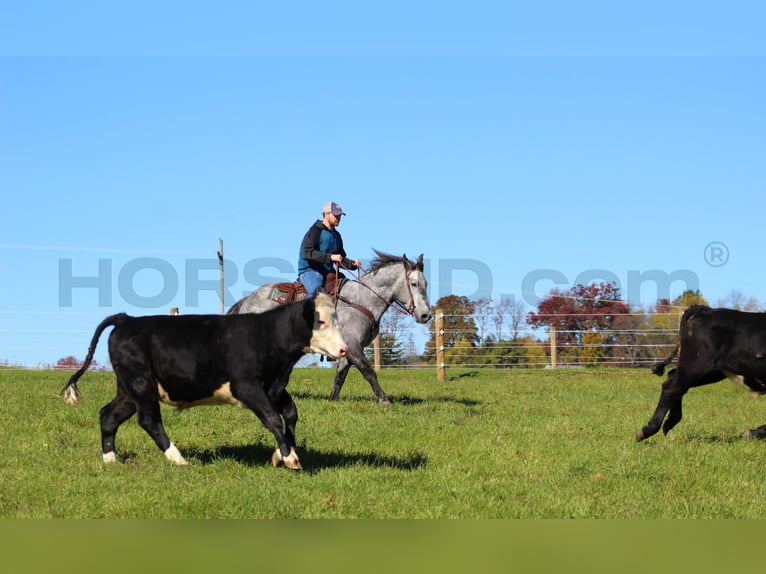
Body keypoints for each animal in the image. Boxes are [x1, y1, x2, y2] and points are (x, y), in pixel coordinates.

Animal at [60, 294, 348, 470]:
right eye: (321, 320)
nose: (344, 349)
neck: (267, 337)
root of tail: (127, 320)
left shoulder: (274, 388)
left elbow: (290, 413)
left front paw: (281, 453)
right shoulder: (246, 386)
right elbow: (273, 418)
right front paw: (290, 458)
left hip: (129, 389)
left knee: (108, 415)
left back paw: (111, 460)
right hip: (141, 384)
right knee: (149, 420)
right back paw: (178, 458)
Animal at [228, 251, 432, 404]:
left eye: (426, 283)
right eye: (413, 283)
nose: (425, 315)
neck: (361, 300)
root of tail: (248, 299)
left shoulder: (349, 348)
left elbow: (341, 375)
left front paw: (332, 399)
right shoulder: (352, 344)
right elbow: (368, 370)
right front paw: (383, 399)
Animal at [640, 306, 766, 446]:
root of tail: (706, 310)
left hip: (709, 372)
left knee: (674, 381)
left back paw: (670, 422)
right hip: (698, 366)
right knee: (672, 387)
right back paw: (648, 429)